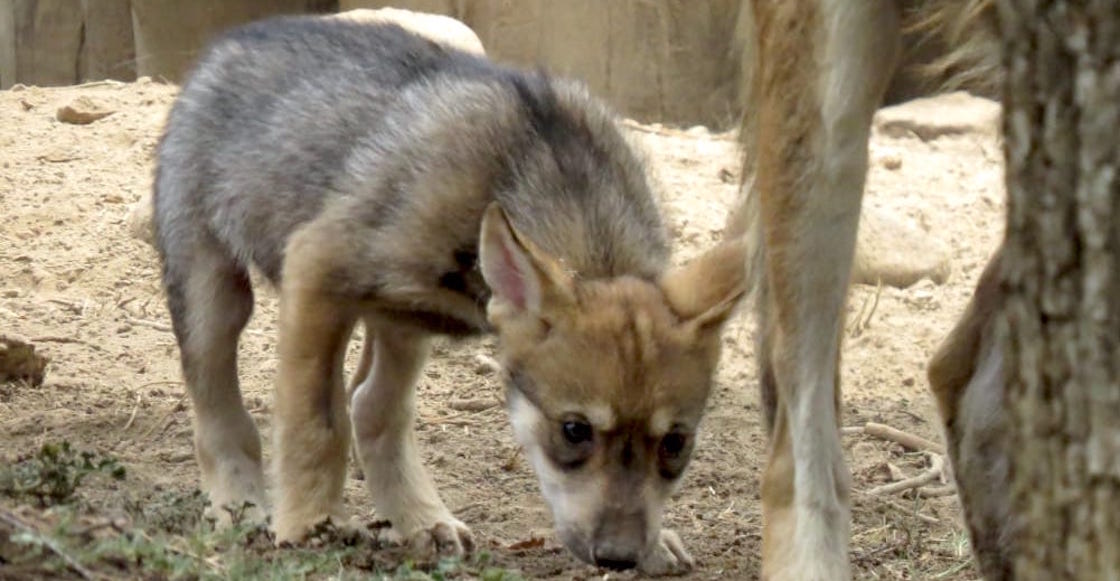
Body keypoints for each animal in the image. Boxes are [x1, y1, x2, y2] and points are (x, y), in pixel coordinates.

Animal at [152, 13, 746, 575]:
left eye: (675, 443)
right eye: (574, 430)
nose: (621, 558)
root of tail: (229, 44)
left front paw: (660, 541)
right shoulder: (316, 270)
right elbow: (315, 424)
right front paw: (310, 525)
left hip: (403, 321)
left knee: (372, 406)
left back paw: (421, 521)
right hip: (216, 295)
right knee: (218, 404)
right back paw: (240, 504)